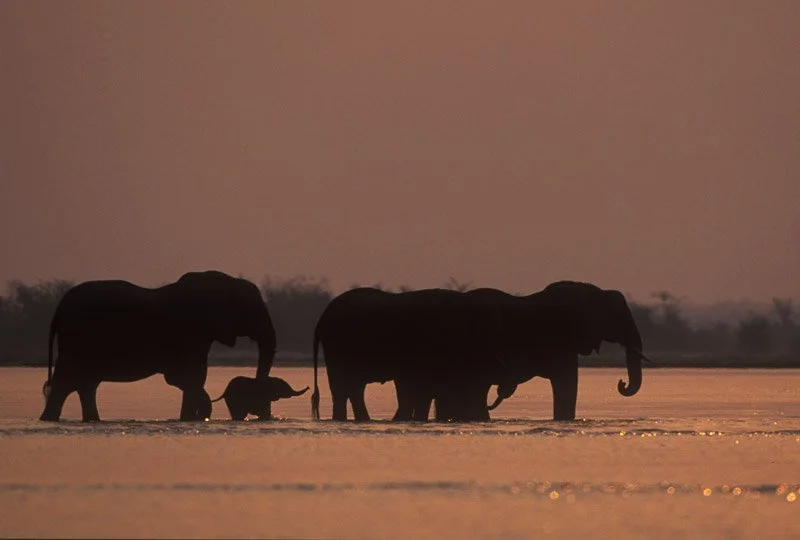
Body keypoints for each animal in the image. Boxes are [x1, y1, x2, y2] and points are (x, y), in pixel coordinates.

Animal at [39, 270, 277, 422]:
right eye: (251, 310)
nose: (261, 410)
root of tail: (59, 309)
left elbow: (191, 379)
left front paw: (190, 418)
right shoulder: (190, 334)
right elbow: (189, 378)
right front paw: (199, 415)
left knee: (85, 385)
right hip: (77, 341)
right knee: (66, 384)